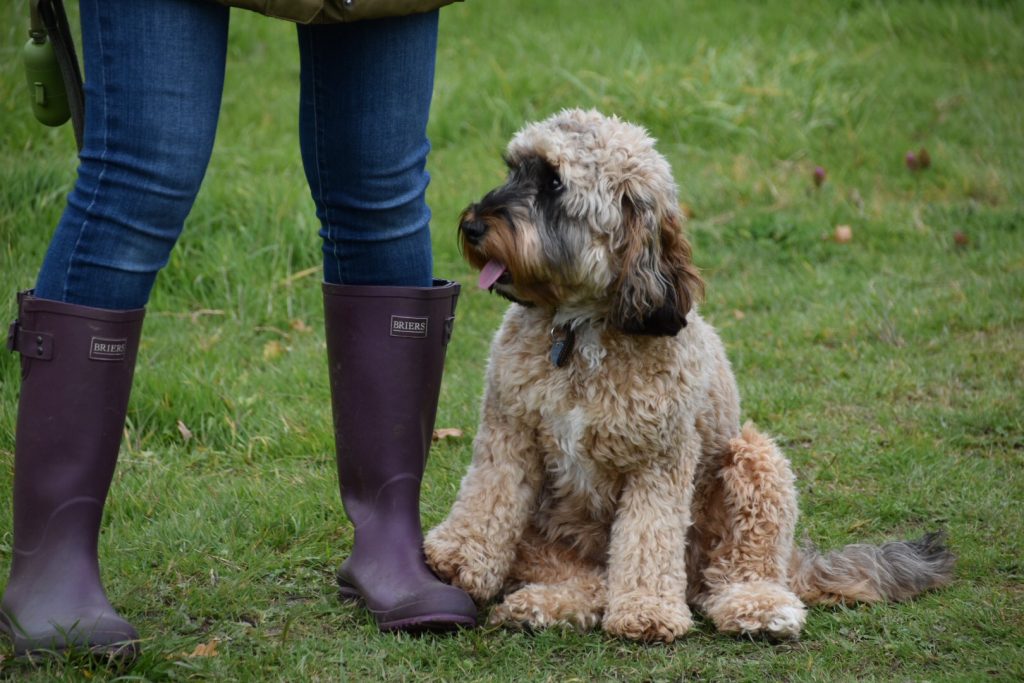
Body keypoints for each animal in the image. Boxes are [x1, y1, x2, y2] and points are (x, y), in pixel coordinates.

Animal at [421, 108, 950, 643]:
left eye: (553, 182)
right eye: (513, 169)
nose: (472, 225)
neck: (581, 331)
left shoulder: (660, 460)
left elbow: (648, 539)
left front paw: (647, 611)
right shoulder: (509, 430)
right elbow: (489, 495)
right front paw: (457, 558)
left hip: (755, 464)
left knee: (734, 571)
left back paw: (757, 606)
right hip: (550, 533)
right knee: (590, 580)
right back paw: (545, 603)